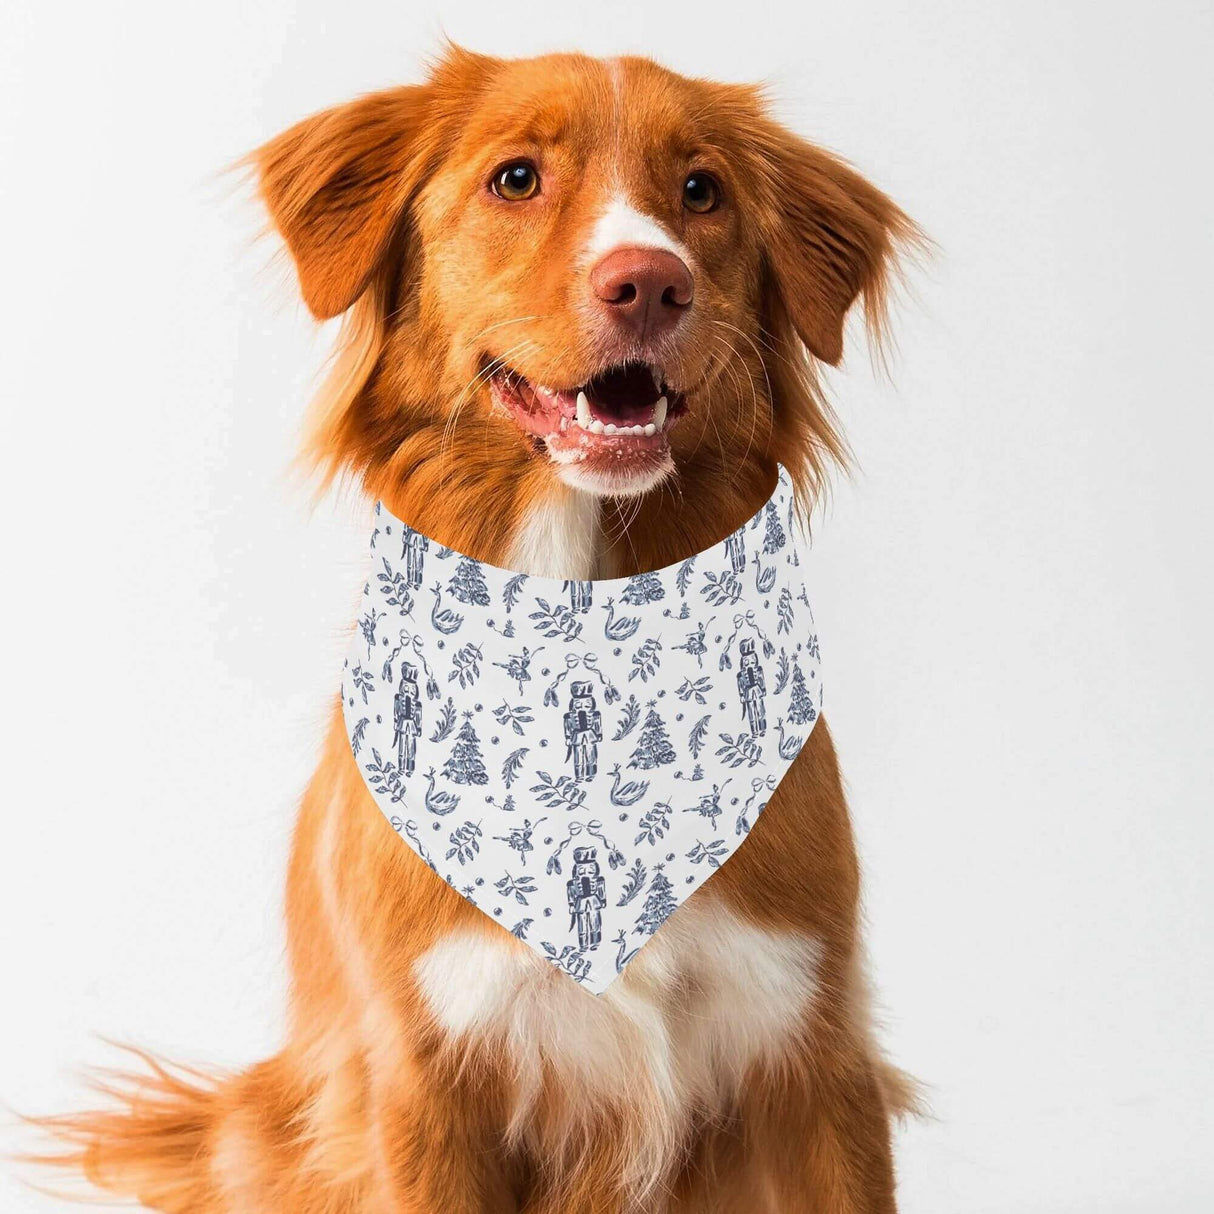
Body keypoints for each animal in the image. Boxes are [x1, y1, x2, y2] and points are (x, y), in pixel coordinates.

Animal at [40, 42, 917, 1214]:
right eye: (515, 179)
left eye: (701, 190)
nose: (650, 280)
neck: (581, 600)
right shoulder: (426, 1077)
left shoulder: (812, 1046)